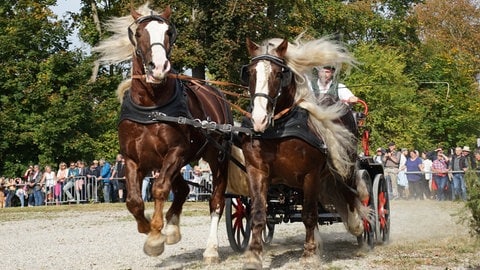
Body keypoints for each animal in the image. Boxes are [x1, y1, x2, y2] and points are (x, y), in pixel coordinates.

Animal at [92, 3, 234, 262]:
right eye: (139, 34)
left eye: (168, 33)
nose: (158, 68)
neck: (151, 107)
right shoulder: (132, 158)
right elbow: (134, 201)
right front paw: (149, 228)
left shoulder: (176, 152)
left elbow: (158, 189)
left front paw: (156, 236)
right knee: (183, 189)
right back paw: (172, 227)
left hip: (217, 158)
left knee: (216, 202)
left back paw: (210, 248)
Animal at [240, 37, 372, 268]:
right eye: (251, 73)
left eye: (279, 74)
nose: (258, 119)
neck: (279, 130)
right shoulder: (256, 171)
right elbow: (257, 213)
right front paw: (254, 255)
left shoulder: (310, 174)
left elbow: (309, 215)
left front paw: (309, 255)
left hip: (344, 167)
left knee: (352, 194)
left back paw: (358, 229)